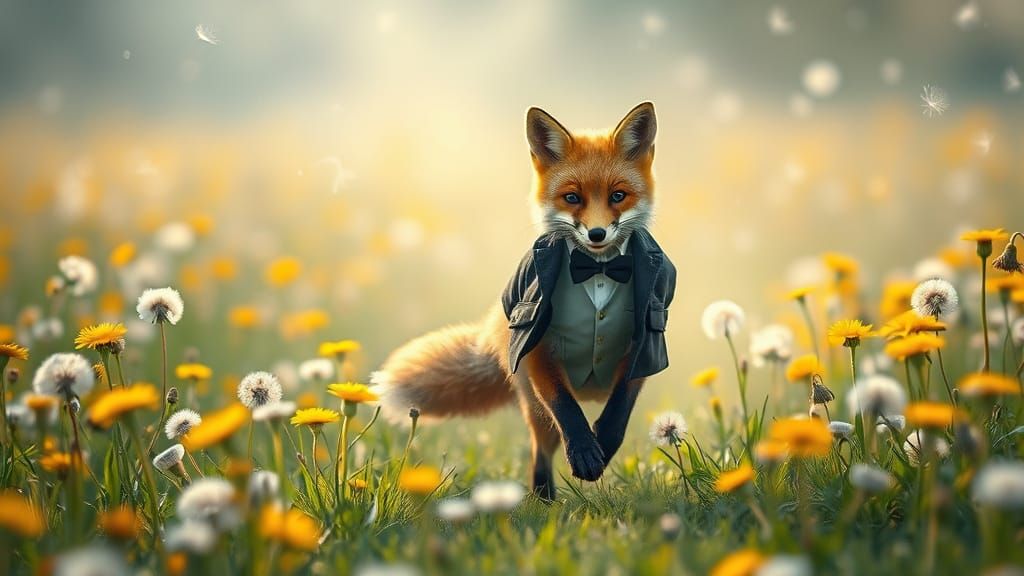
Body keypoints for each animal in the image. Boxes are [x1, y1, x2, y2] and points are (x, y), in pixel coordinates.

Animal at [372, 102, 676, 500]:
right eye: (572, 197)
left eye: (617, 196)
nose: (596, 234)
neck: (597, 270)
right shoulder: (537, 346)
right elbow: (566, 408)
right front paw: (584, 451)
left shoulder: (645, 340)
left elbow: (618, 412)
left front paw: (603, 445)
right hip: (535, 407)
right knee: (540, 451)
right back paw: (543, 500)